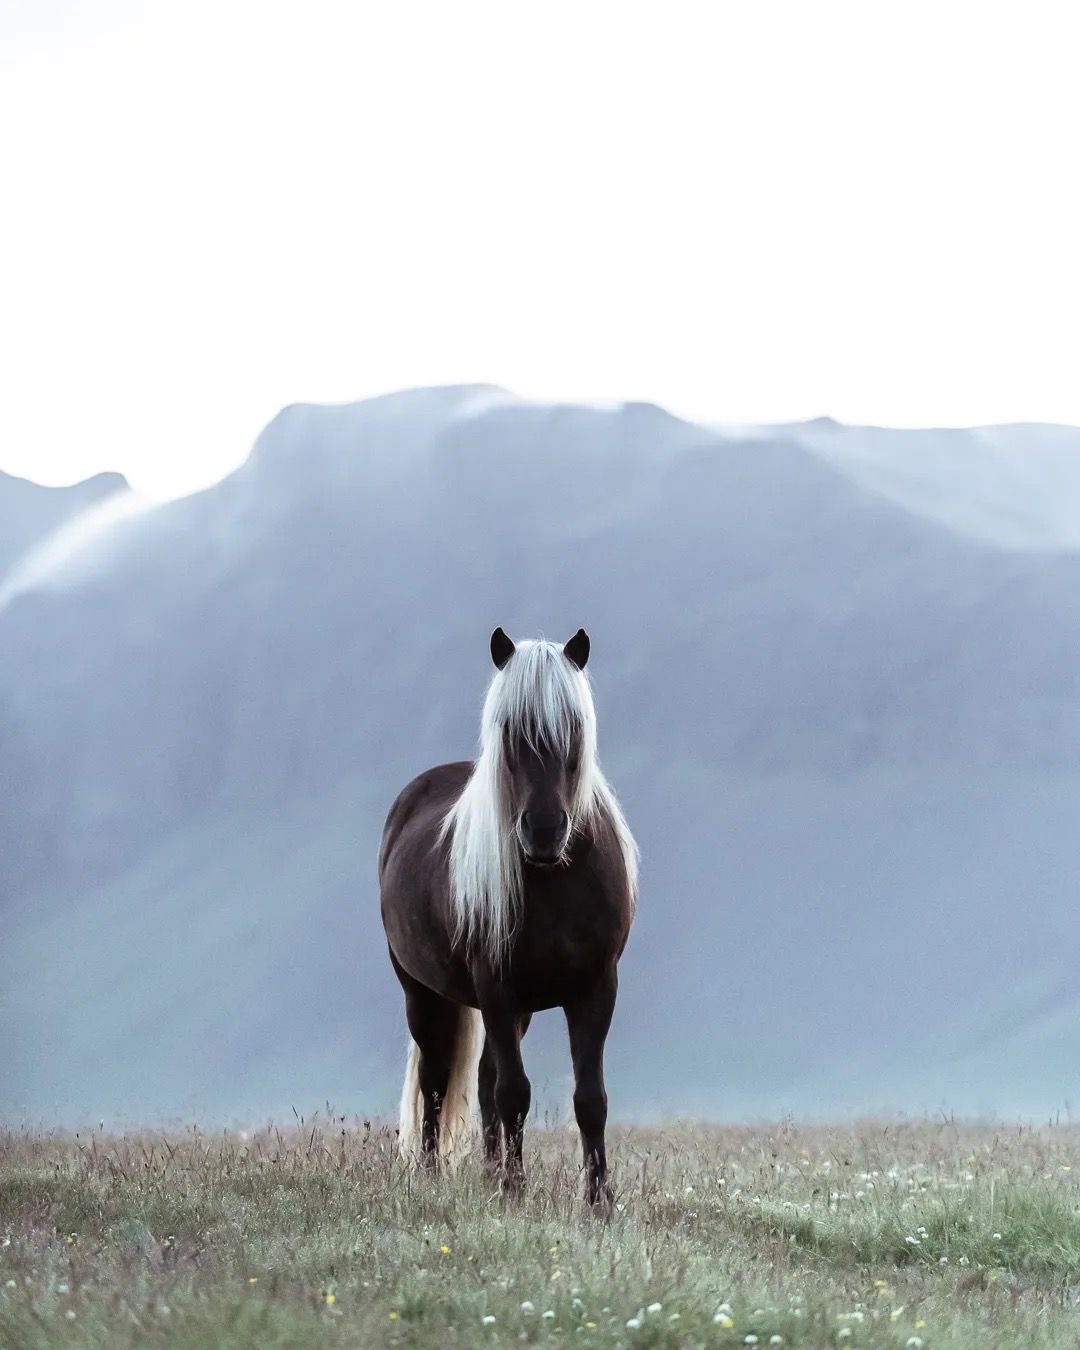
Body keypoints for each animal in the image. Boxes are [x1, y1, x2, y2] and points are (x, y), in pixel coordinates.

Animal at [379, 627, 638, 1205]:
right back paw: (433, 1176)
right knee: (437, 1080)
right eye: (509, 731)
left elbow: (590, 1098)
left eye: (574, 728)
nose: (543, 830)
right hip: (423, 993)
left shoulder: (596, 988)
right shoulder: (496, 985)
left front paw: (598, 1202)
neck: (555, 881)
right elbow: (514, 1093)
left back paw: (490, 1172)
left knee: (481, 1080)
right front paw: (516, 1193)